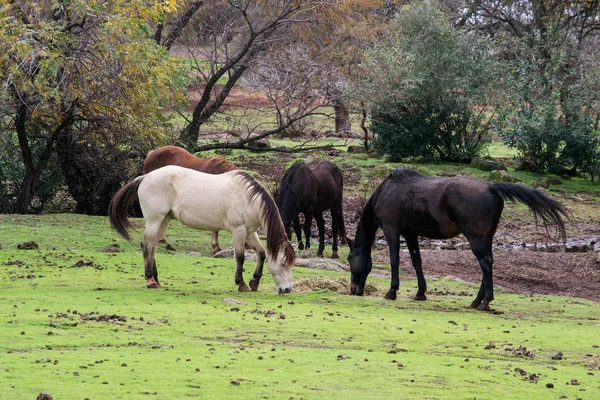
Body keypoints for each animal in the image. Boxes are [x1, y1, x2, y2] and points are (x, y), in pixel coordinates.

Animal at [109, 166, 296, 294]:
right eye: (283, 263)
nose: (287, 289)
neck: (248, 198)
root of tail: (146, 177)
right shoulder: (239, 230)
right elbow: (240, 257)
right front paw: (241, 283)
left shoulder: (250, 232)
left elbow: (262, 253)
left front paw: (255, 281)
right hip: (154, 220)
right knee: (147, 245)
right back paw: (150, 280)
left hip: (164, 220)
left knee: (153, 246)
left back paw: (156, 279)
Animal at [344, 167, 568, 310]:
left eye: (349, 258)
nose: (354, 290)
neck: (388, 191)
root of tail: (491, 186)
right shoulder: (410, 233)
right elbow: (417, 262)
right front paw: (420, 293)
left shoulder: (392, 229)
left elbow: (394, 260)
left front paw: (392, 291)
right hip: (487, 237)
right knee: (489, 262)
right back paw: (476, 301)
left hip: (475, 237)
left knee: (485, 262)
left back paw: (485, 302)